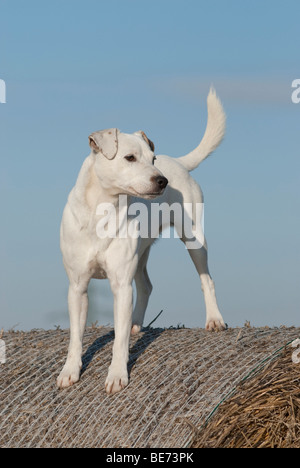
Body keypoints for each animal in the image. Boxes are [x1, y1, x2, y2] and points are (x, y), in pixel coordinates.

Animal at [57, 88, 226, 394]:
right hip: (140, 254)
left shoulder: (121, 285)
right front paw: (69, 371)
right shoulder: (77, 287)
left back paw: (214, 320)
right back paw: (136, 323)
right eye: (129, 158)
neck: (102, 210)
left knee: (206, 280)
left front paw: (116, 375)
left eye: (153, 158)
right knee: (146, 285)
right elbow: (76, 336)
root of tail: (179, 162)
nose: (162, 181)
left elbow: (120, 342)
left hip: (194, 239)